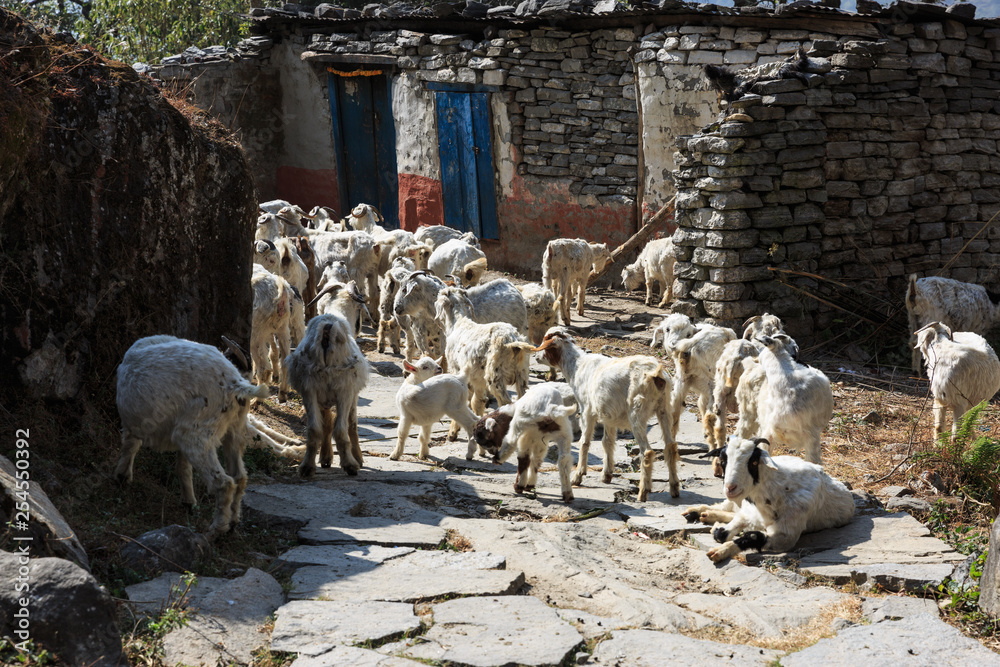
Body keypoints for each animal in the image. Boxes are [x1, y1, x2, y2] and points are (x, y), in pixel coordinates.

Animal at [115, 336, 264, 538]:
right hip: (234, 430)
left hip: (196, 432)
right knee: (240, 477)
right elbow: (183, 467)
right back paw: (232, 523)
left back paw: (216, 530)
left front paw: (122, 476)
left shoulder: (134, 422)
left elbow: (130, 445)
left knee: (224, 484)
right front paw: (188, 501)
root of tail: (234, 383)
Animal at [286, 313, 369, 477]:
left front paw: (325, 457)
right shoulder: (350, 392)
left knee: (314, 429)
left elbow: (325, 425)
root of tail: (327, 328)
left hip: (309, 387)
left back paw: (307, 467)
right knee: (342, 428)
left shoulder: (317, 394)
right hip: (344, 389)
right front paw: (356, 458)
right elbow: (349, 424)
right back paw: (351, 464)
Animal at [532, 329, 680, 499]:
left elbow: (584, 442)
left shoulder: (586, 410)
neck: (577, 366)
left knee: (647, 452)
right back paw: (674, 488)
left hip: (637, 412)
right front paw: (606, 474)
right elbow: (607, 441)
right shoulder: (609, 415)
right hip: (664, 409)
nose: (536, 357)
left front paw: (578, 476)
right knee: (670, 446)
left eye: (545, 343)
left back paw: (643, 492)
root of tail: (656, 372)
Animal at [706, 437, 855, 563]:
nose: (730, 488)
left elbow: (753, 536)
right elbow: (722, 533)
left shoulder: (786, 536)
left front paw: (719, 551)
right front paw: (717, 529)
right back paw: (704, 512)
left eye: (754, 462)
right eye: (723, 461)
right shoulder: (748, 511)